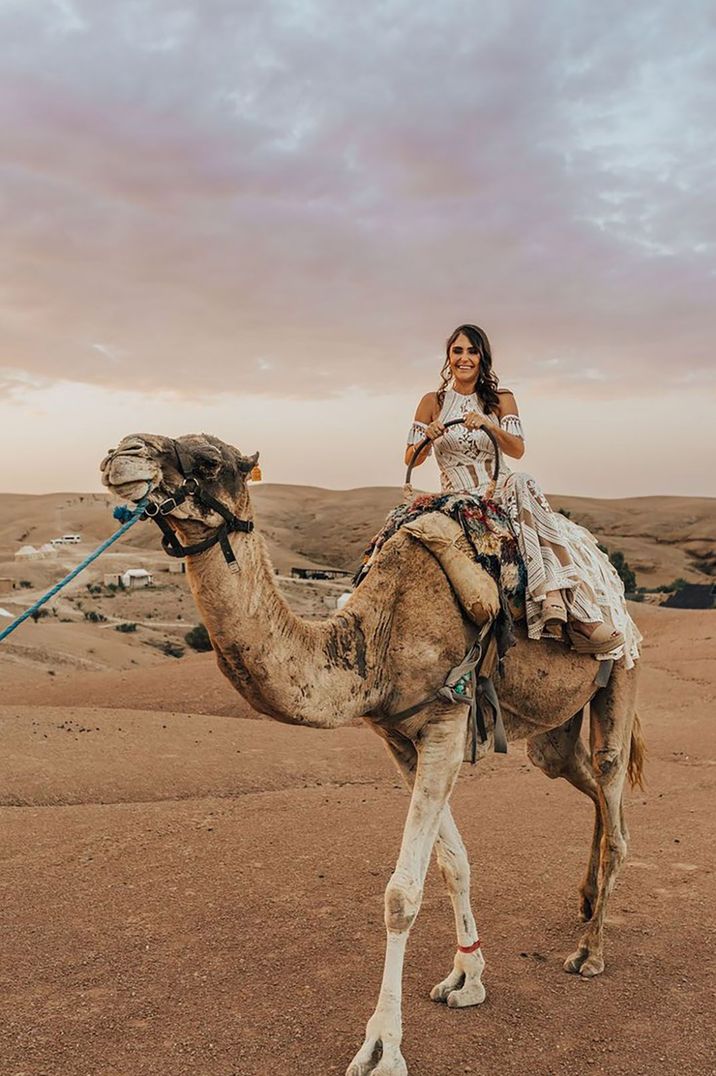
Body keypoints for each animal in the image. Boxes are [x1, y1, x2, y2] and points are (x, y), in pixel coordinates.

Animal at [100, 430, 641, 1076]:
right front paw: (467, 977)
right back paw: (584, 902)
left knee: (614, 801)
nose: (121, 454)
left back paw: (591, 951)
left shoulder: (447, 722)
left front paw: (382, 1047)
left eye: (208, 461)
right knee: (580, 777)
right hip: (551, 730)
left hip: (620, 671)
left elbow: (401, 896)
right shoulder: (400, 740)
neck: (375, 638)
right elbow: (452, 864)